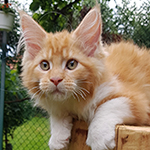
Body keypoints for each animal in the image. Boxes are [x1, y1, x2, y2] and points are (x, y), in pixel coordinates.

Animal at [18, 5, 150, 150]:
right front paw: (57, 137)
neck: (74, 101)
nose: (55, 79)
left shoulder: (138, 100)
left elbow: (109, 104)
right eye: (45, 65)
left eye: (71, 64)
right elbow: (57, 114)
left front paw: (99, 137)